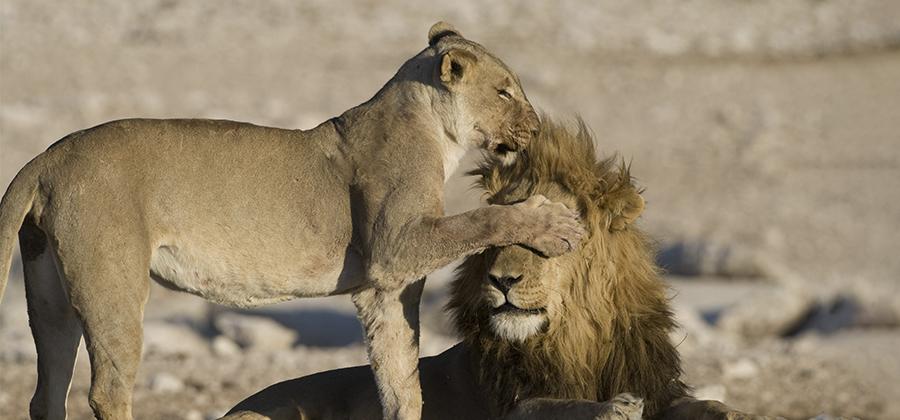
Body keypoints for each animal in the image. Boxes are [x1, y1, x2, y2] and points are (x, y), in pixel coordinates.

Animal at [0, 22, 585, 420]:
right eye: (505, 91)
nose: (536, 126)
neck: (431, 129)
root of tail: (46, 157)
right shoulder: (395, 245)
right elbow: (483, 219)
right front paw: (553, 222)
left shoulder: (385, 288)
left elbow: (400, 381)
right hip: (113, 282)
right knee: (107, 390)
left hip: (48, 292)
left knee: (47, 393)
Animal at [221, 118, 766, 420]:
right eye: (498, 232)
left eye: (558, 234)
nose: (502, 280)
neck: (576, 342)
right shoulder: (509, 403)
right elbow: (549, 406)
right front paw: (613, 408)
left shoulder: (657, 385)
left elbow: (707, 405)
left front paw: (740, 412)